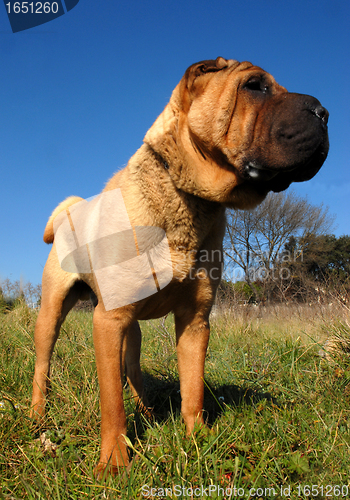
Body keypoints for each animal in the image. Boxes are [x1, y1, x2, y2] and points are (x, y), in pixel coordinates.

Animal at [30, 56, 328, 474]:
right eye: (254, 86)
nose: (324, 112)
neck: (186, 199)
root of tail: (70, 213)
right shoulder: (109, 320)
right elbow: (111, 400)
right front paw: (114, 462)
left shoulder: (195, 319)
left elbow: (193, 388)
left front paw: (198, 439)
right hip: (52, 315)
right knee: (43, 367)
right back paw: (37, 416)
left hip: (132, 331)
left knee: (133, 371)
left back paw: (149, 414)